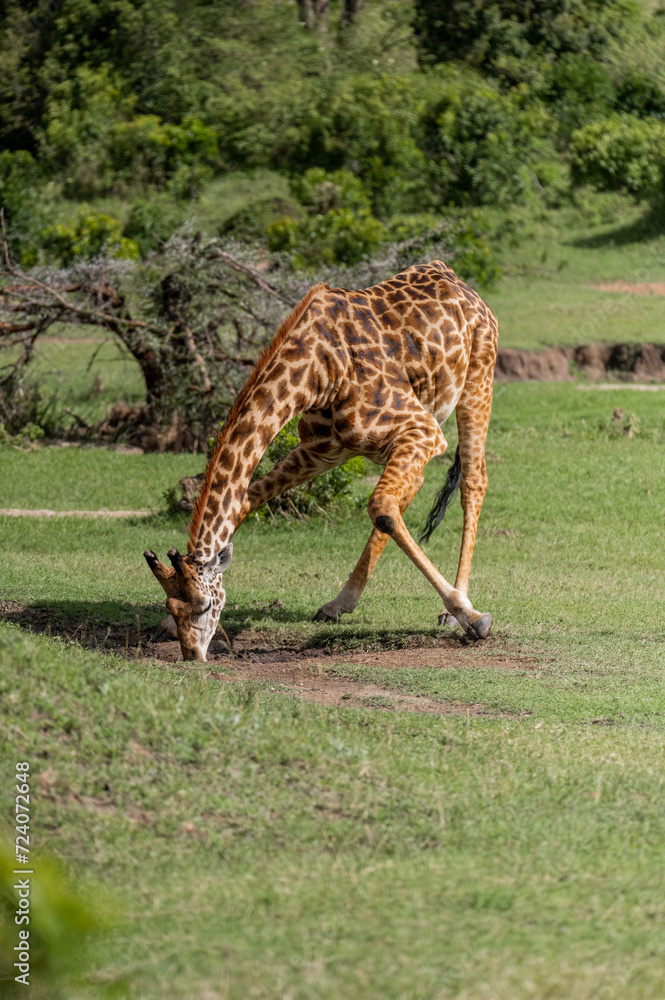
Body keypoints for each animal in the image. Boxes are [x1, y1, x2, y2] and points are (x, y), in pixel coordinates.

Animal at [144, 260, 498, 662]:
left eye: (204, 605)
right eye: (172, 604)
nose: (193, 654)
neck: (316, 372)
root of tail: (458, 280)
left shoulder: (422, 430)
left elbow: (380, 507)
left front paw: (471, 616)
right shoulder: (319, 451)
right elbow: (246, 502)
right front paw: (171, 627)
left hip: (478, 381)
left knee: (472, 483)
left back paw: (452, 609)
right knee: (407, 495)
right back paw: (337, 604)